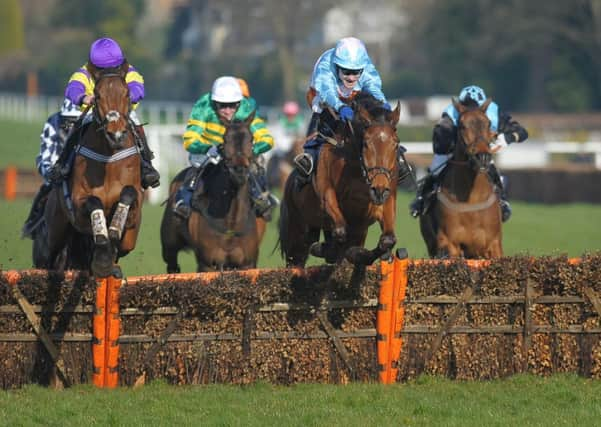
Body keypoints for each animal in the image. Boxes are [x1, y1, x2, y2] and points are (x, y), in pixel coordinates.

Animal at [33, 62, 144, 278]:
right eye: (98, 95)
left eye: (127, 93)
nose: (116, 135)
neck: (109, 160)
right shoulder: (77, 203)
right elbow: (94, 202)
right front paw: (102, 256)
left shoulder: (135, 204)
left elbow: (128, 195)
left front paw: (113, 232)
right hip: (55, 229)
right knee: (50, 256)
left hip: (127, 241)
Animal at [159, 113, 264, 272]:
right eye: (225, 139)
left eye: (251, 138)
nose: (239, 170)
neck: (231, 222)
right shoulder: (207, 264)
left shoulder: (248, 264)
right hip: (169, 245)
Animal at [278, 93, 400, 268]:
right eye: (366, 143)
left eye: (395, 144)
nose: (379, 190)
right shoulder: (327, 194)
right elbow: (340, 231)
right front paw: (328, 250)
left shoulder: (383, 201)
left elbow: (388, 239)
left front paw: (368, 254)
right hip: (297, 234)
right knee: (298, 256)